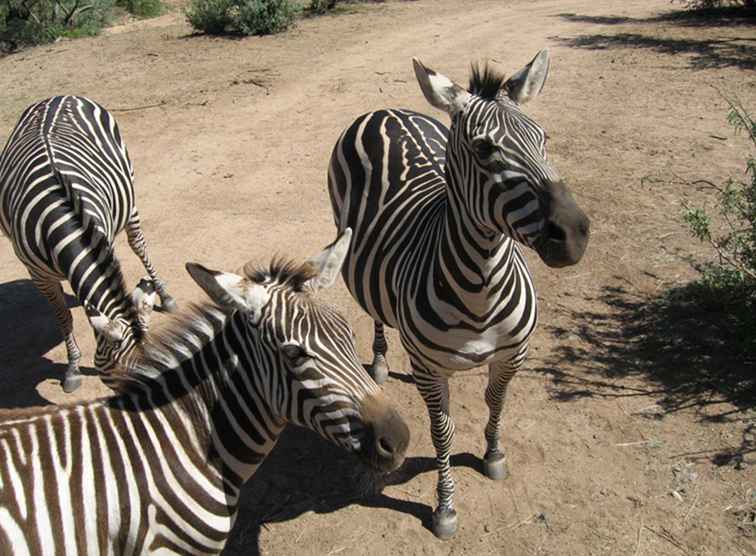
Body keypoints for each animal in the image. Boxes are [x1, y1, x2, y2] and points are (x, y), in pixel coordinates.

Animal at [0, 94, 177, 390]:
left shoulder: (102, 240)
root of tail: (58, 96)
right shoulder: (37, 274)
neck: (59, 219)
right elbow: (64, 316)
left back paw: (165, 294)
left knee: (138, 244)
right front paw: (72, 368)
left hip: (129, 196)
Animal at [328, 52, 588, 540]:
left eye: (543, 138)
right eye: (485, 150)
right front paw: (445, 507)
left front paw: (493, 455)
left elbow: (496, 402)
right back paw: (379, 360)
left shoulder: (513, 354)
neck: (481, 289)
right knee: (375, 309)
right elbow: (442, 434)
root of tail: (385, 111)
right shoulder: (429, 371)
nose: (574, 235)